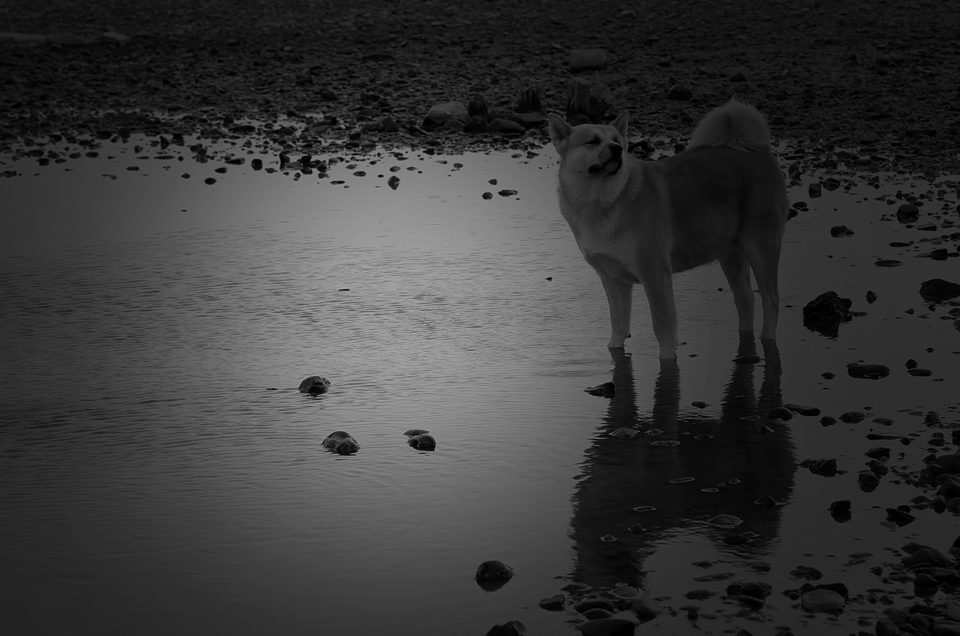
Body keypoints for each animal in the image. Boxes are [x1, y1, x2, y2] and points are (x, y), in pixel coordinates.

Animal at [548, 98, 788, 358]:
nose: (617, 149)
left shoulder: (655, 274)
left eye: (617, 140)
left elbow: (662, 327)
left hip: (760, 245)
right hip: (730, 252)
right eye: (592, 141)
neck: (604, 200)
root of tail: (756, 150)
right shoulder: (613, 279)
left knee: (771, 299)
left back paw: (768, 339)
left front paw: (667, 359)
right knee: (744, 298)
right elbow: (618, 325)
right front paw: (614, 352)